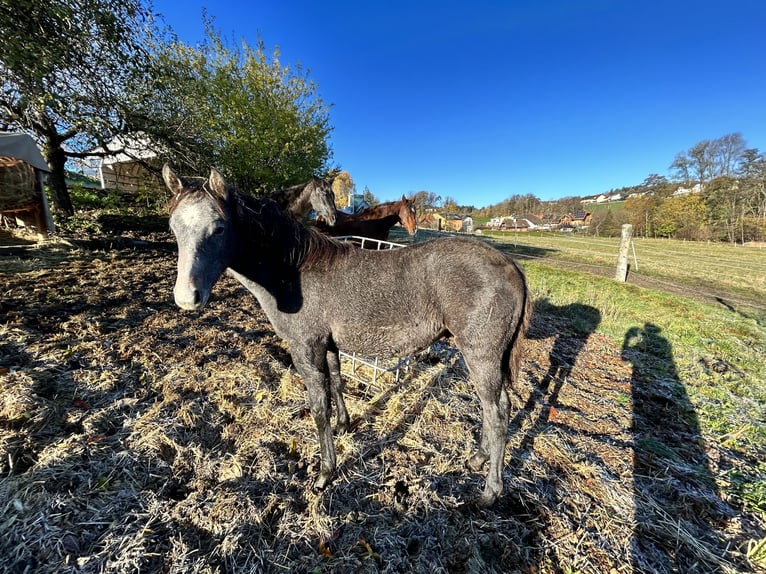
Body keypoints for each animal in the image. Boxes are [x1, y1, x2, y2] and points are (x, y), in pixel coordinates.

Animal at [162, 166, 536, 508]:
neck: (295, 270)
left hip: (480, 355)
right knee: (497, 406)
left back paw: (490, 491)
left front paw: (325, 473)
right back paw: (477, 459)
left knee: (497, 412)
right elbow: (338, 382)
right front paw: (345, 425)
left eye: (219, 227)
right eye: (173, 228)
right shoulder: (327, 346)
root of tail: (511, 266)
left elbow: (318, 407)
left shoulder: (306, 347)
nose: (187, 298)